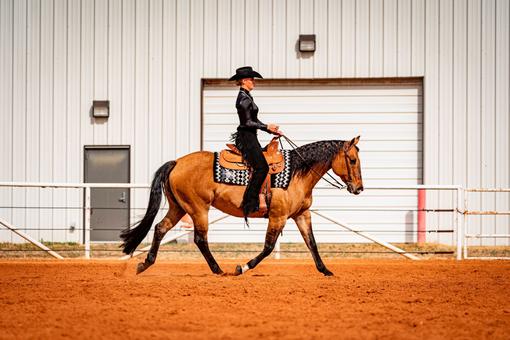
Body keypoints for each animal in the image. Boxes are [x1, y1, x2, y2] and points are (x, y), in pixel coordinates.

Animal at [120, 135, 362, 276]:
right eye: (352, 160)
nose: (359, 188)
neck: (296, 173)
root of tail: (177, 162)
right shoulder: (278, 216)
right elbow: (268, 247)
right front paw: (242, 268)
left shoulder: (302, 214)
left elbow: (312, 243)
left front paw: (325, 270)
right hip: (198, 209)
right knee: (200, 239)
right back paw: (218, 270)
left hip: (178, 207)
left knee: (160, 228)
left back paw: (145, 264)